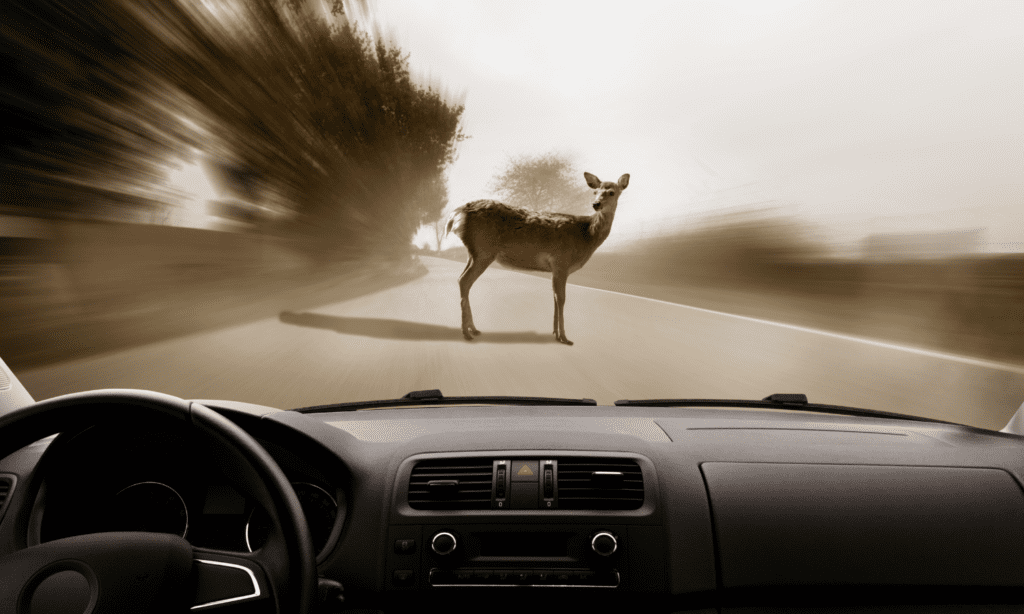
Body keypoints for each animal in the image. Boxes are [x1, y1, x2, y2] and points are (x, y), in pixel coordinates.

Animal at [444, 171, 629, 345]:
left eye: (611, 192)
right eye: (595, 192)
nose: (596, 204)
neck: (586, 235)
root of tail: (456, 214)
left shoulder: (556, 268)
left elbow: (555, 297)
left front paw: (555, 333)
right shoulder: (561, 262)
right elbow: (561, 298)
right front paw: (564, 337)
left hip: (474, 252)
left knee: (462, 279)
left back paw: (473, 329)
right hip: (484, 250)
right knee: (464, 281)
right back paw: (467, 333)